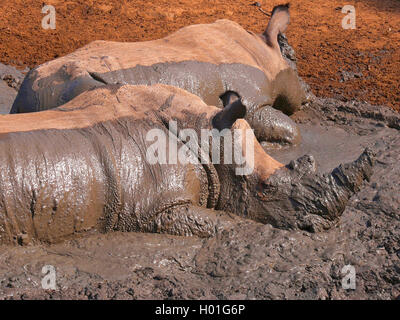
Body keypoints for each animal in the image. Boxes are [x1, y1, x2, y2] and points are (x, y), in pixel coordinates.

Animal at [12, 4, 306, 146]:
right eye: (294, 63)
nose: (308, 95)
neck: (264, 52)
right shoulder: (251, 100)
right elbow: (286, 127)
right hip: (72, 85)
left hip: (46, 88)